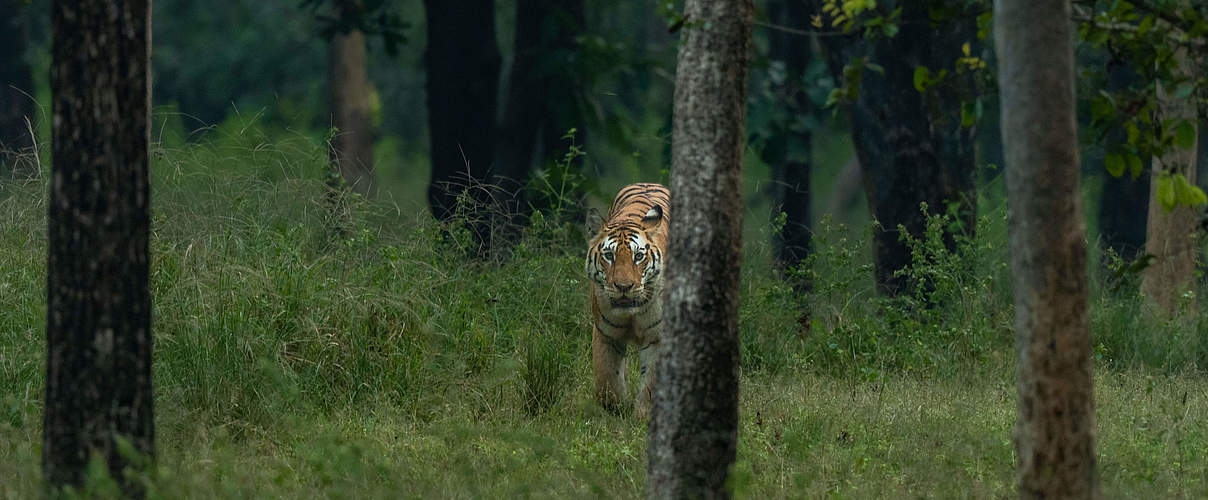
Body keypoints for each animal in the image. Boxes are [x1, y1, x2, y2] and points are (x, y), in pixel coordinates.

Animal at [584, 182, 671, 413]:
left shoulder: (657, 336)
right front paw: (615, 408)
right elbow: (606, 378)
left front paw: (643, 413)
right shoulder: (605, 333)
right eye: (609, 256)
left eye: (638, 256)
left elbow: (651, 383)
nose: (624, 286)